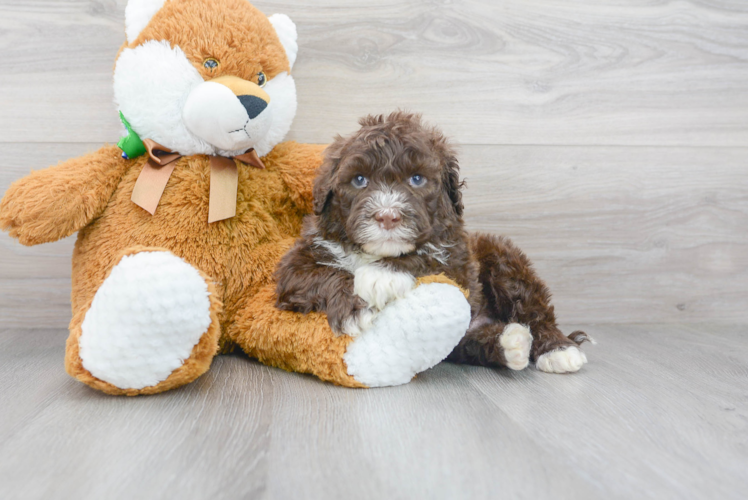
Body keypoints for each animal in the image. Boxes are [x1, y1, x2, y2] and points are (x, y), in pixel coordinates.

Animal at [274, 112, 592, 372]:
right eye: (359, 180)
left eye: (417, 179)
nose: (387, 216)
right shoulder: (296, 265)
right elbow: (322, 274)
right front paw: (356, 307)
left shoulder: (460, 261)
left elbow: (430, 255)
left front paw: (382, 274)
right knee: (466, 343)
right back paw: (511, 342)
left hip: (502, 257)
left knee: (534, 308)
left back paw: (558, 350)